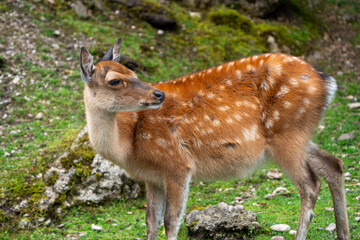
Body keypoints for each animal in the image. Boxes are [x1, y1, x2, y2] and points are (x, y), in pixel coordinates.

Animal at [79, 38, 348, 240]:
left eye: (133, 72)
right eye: (115, 80)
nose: (158, 94)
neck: (130, 144)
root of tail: (327, 83)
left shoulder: (177, 163)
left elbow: (170, 221)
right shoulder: (151, 177)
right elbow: (150, 223)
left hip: (287, 134)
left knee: (310, 184)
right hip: (298, 135)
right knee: (333, 164)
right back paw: (343, 233)